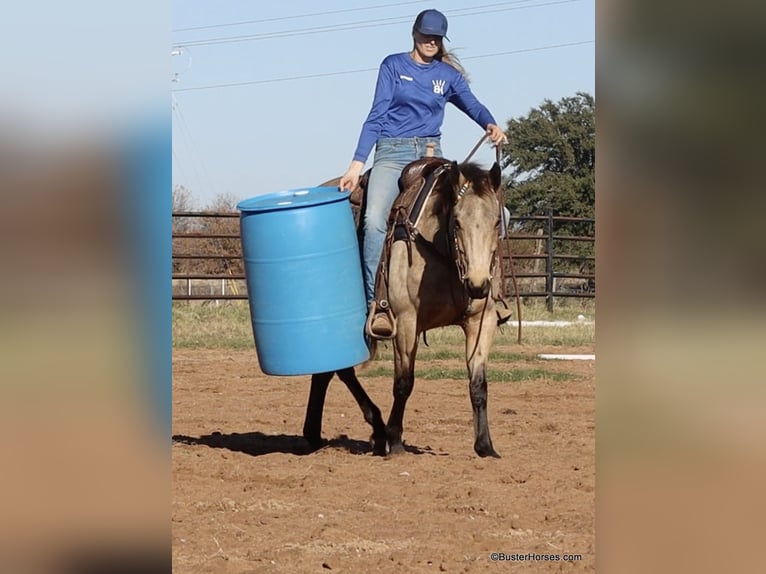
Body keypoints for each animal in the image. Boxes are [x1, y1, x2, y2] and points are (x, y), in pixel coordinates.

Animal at [304, 156, 508, 460]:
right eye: (457, 222)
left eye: (496, 222)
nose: (478, 284)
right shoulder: (406, 322)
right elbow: (403, 383)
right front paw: (396, 441)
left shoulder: (480, 322)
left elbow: (478, 384)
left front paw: (485, 446)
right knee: (338, 371)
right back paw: (373, 432)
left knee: (329, 371)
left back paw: (319, 435)